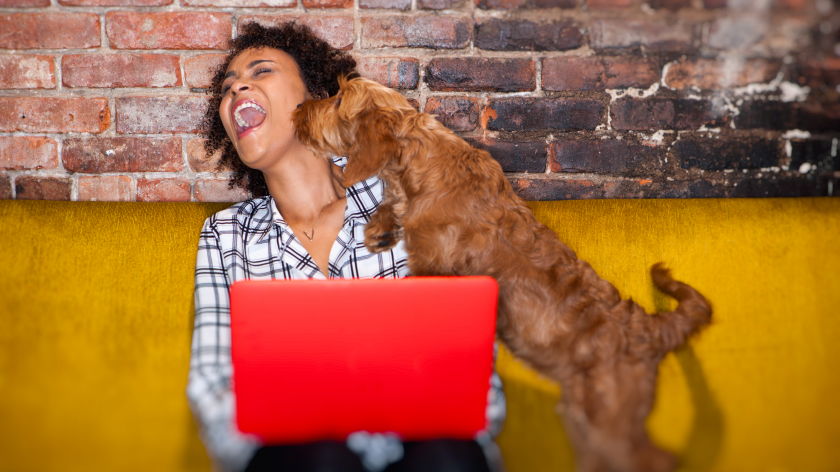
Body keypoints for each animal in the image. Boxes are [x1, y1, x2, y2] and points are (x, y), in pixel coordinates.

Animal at [292, 75, 712, 470]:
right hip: (583, 423)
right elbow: (389, 206)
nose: (297, 108)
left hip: (609, 421)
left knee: (651, 459)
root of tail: (648, 328)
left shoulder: (434, 266)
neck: (420, 163)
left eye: (339, 100)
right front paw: (379, 230)